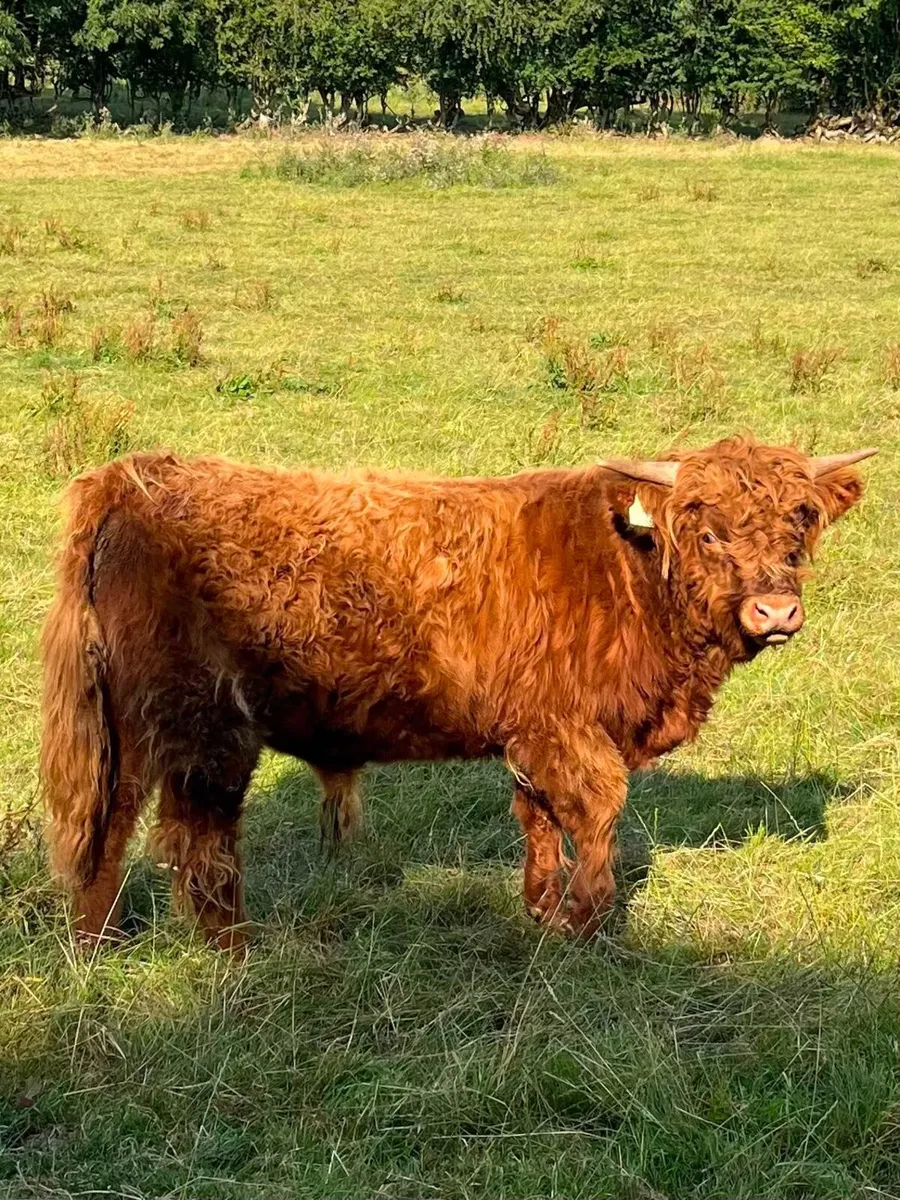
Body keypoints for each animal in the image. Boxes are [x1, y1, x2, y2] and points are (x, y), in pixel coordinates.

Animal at [40, 436, 876, 949]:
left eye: (799, 526)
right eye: (707, 531)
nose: (777, 612)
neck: (628, 568)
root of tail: (132, 477)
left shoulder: (532, 734)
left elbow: (538, 816)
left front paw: (540, 908)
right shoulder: (570, 729)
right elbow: (598, 811)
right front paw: (586, 923)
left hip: (130, 725)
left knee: (109, 827)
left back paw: (97, 945)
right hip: (202, 725)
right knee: (193, 837)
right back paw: (234, 952)